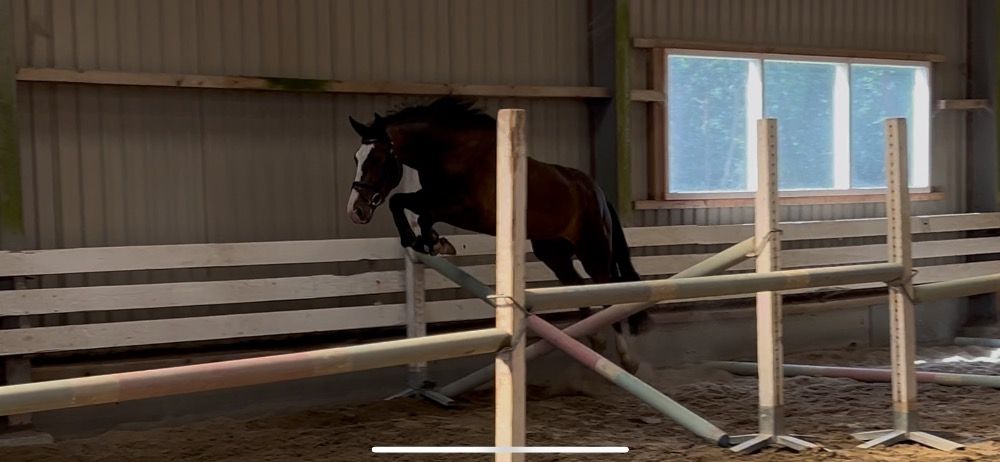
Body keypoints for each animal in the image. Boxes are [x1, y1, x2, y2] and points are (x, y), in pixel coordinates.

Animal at [345, 97, 646, 373]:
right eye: (356, 158)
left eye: (377, 159)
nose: (355, 211)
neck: (450, 153)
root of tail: (596, 191)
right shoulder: (431, 196)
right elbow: (401, 202)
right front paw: (426, 241)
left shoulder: (465, 210)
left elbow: (421, 213)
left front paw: (431, 242)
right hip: (553, 252)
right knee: (578, 286)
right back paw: (594, 339)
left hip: (593, 250)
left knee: (608, 289)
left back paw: (627, 359)